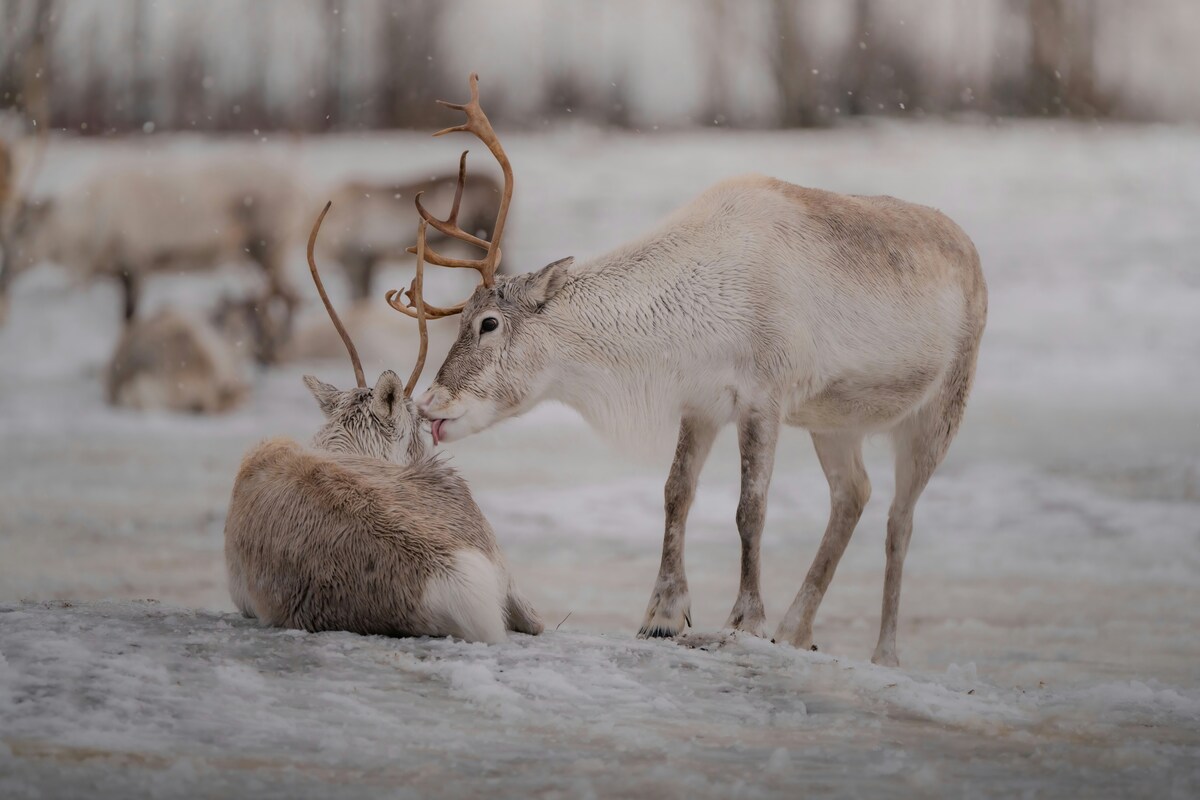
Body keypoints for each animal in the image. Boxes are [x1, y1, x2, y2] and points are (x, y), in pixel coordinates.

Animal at [393, 74, 987, 667]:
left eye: (489, 323)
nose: (428, 403)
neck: (691, 316)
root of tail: (972, 253)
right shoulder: (700, 403)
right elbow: (675, 493)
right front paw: (662, 615)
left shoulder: (763, 398)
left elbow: (751, 509)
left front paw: (746, 620)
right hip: (834, 421)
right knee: (854, 494)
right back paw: (796, 630)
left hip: (940, 409)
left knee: (900, 520)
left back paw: (882, 653)